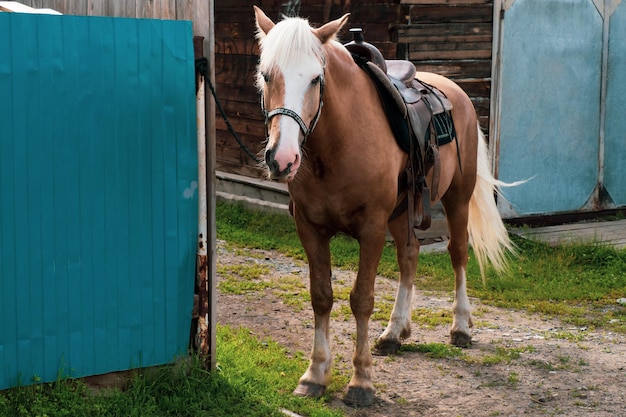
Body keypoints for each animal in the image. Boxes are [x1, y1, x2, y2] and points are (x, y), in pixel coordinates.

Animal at [252, 6, 512, 406]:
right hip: (402, 212)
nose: (282, 159)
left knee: (457, 253)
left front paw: (361, 381)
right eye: (267, 76)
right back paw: (394, 331)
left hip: (457, 198)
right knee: (410, 255)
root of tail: (456, 92)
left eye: (315, 79)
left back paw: (460, 326)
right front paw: (315, 374)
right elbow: (321, 296)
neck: (338, 142)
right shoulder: (310, 229)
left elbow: (361, 299)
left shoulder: (371, 229)